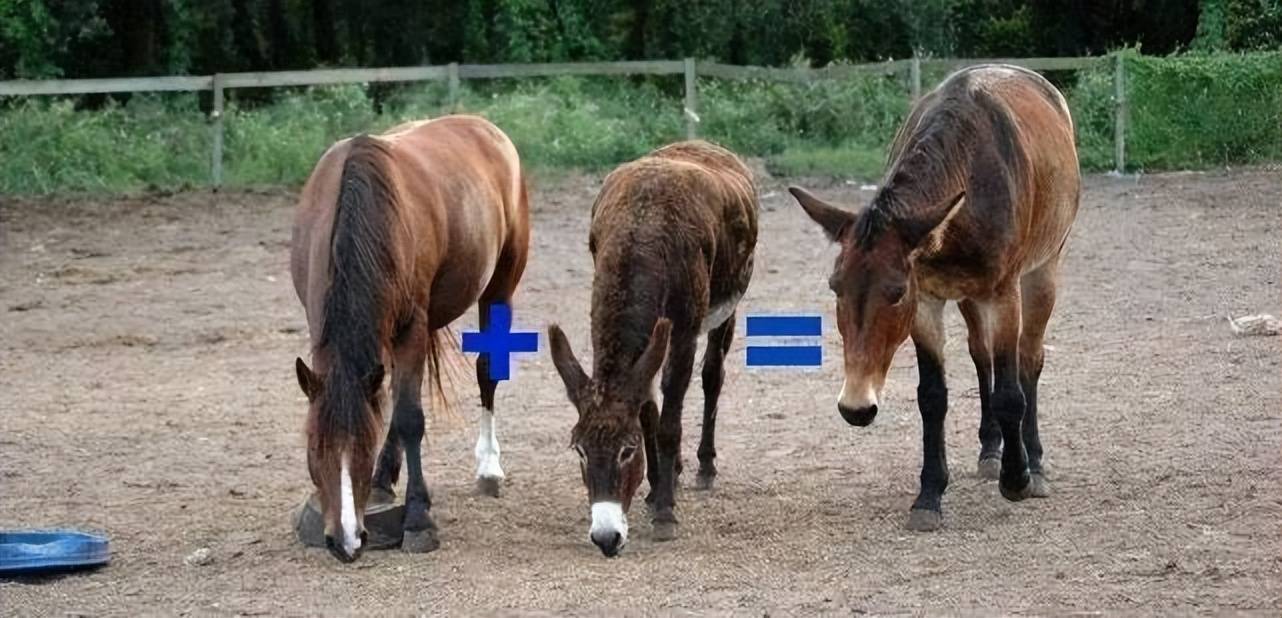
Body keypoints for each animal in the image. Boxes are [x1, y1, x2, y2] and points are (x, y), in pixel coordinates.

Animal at [290, 115, 530, 562]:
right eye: (314, 448)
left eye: (362, 450)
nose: (345, 541)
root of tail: (485, 128)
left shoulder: (409, 329)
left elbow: (409, 417)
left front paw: (418, 518)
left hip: (500, 284)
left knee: (486, 369)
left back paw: (488, 468)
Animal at [548, 140, 758, 557]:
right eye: (579, 450)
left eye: (627, 451)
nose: (606, 538)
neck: (641, 228)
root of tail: (704, 145)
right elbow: (648, 410)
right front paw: (657, 487)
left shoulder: (684, 332)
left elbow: (669, 422)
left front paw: (664, 513)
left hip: (728, 305)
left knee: (713, 375)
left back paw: (704, 466)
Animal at [787, 64, 1080, 531]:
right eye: (835, 287)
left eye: (895, 293)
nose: (856, 407)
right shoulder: (926, 301)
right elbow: (932, 396)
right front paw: (929, 494)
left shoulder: (1003, 293)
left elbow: (1011, 391)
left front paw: (1016, 478)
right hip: (970, 296)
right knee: (982, 355)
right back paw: (990, 448)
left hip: (1042, 272)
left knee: (1029, 359)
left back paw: (1033, 462)